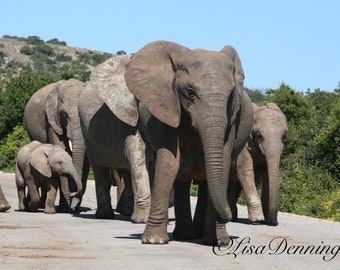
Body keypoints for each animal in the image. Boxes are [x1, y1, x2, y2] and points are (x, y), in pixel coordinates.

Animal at [24, 78, 89, 211]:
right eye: (64, 115)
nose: (73, 194)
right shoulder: (51, 120)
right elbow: (62, 148)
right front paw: (66, 208)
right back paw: (42, 205)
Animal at [79, 53, 151, 223]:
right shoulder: (127, 118)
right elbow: (138, 161)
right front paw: (141, 220)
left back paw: (126, 212)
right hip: (88, 134)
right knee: (100, 170)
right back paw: (105, 215)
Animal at [124, 40, 252, 245]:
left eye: (231, 95)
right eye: (190, 93)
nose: (229, 216)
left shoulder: (231, 120)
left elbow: (222, 164)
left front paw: (220, 242)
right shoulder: (168, 107)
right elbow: (169, 163)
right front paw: (153, 241)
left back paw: (204, 237)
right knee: (182, 178)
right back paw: (184, 235)